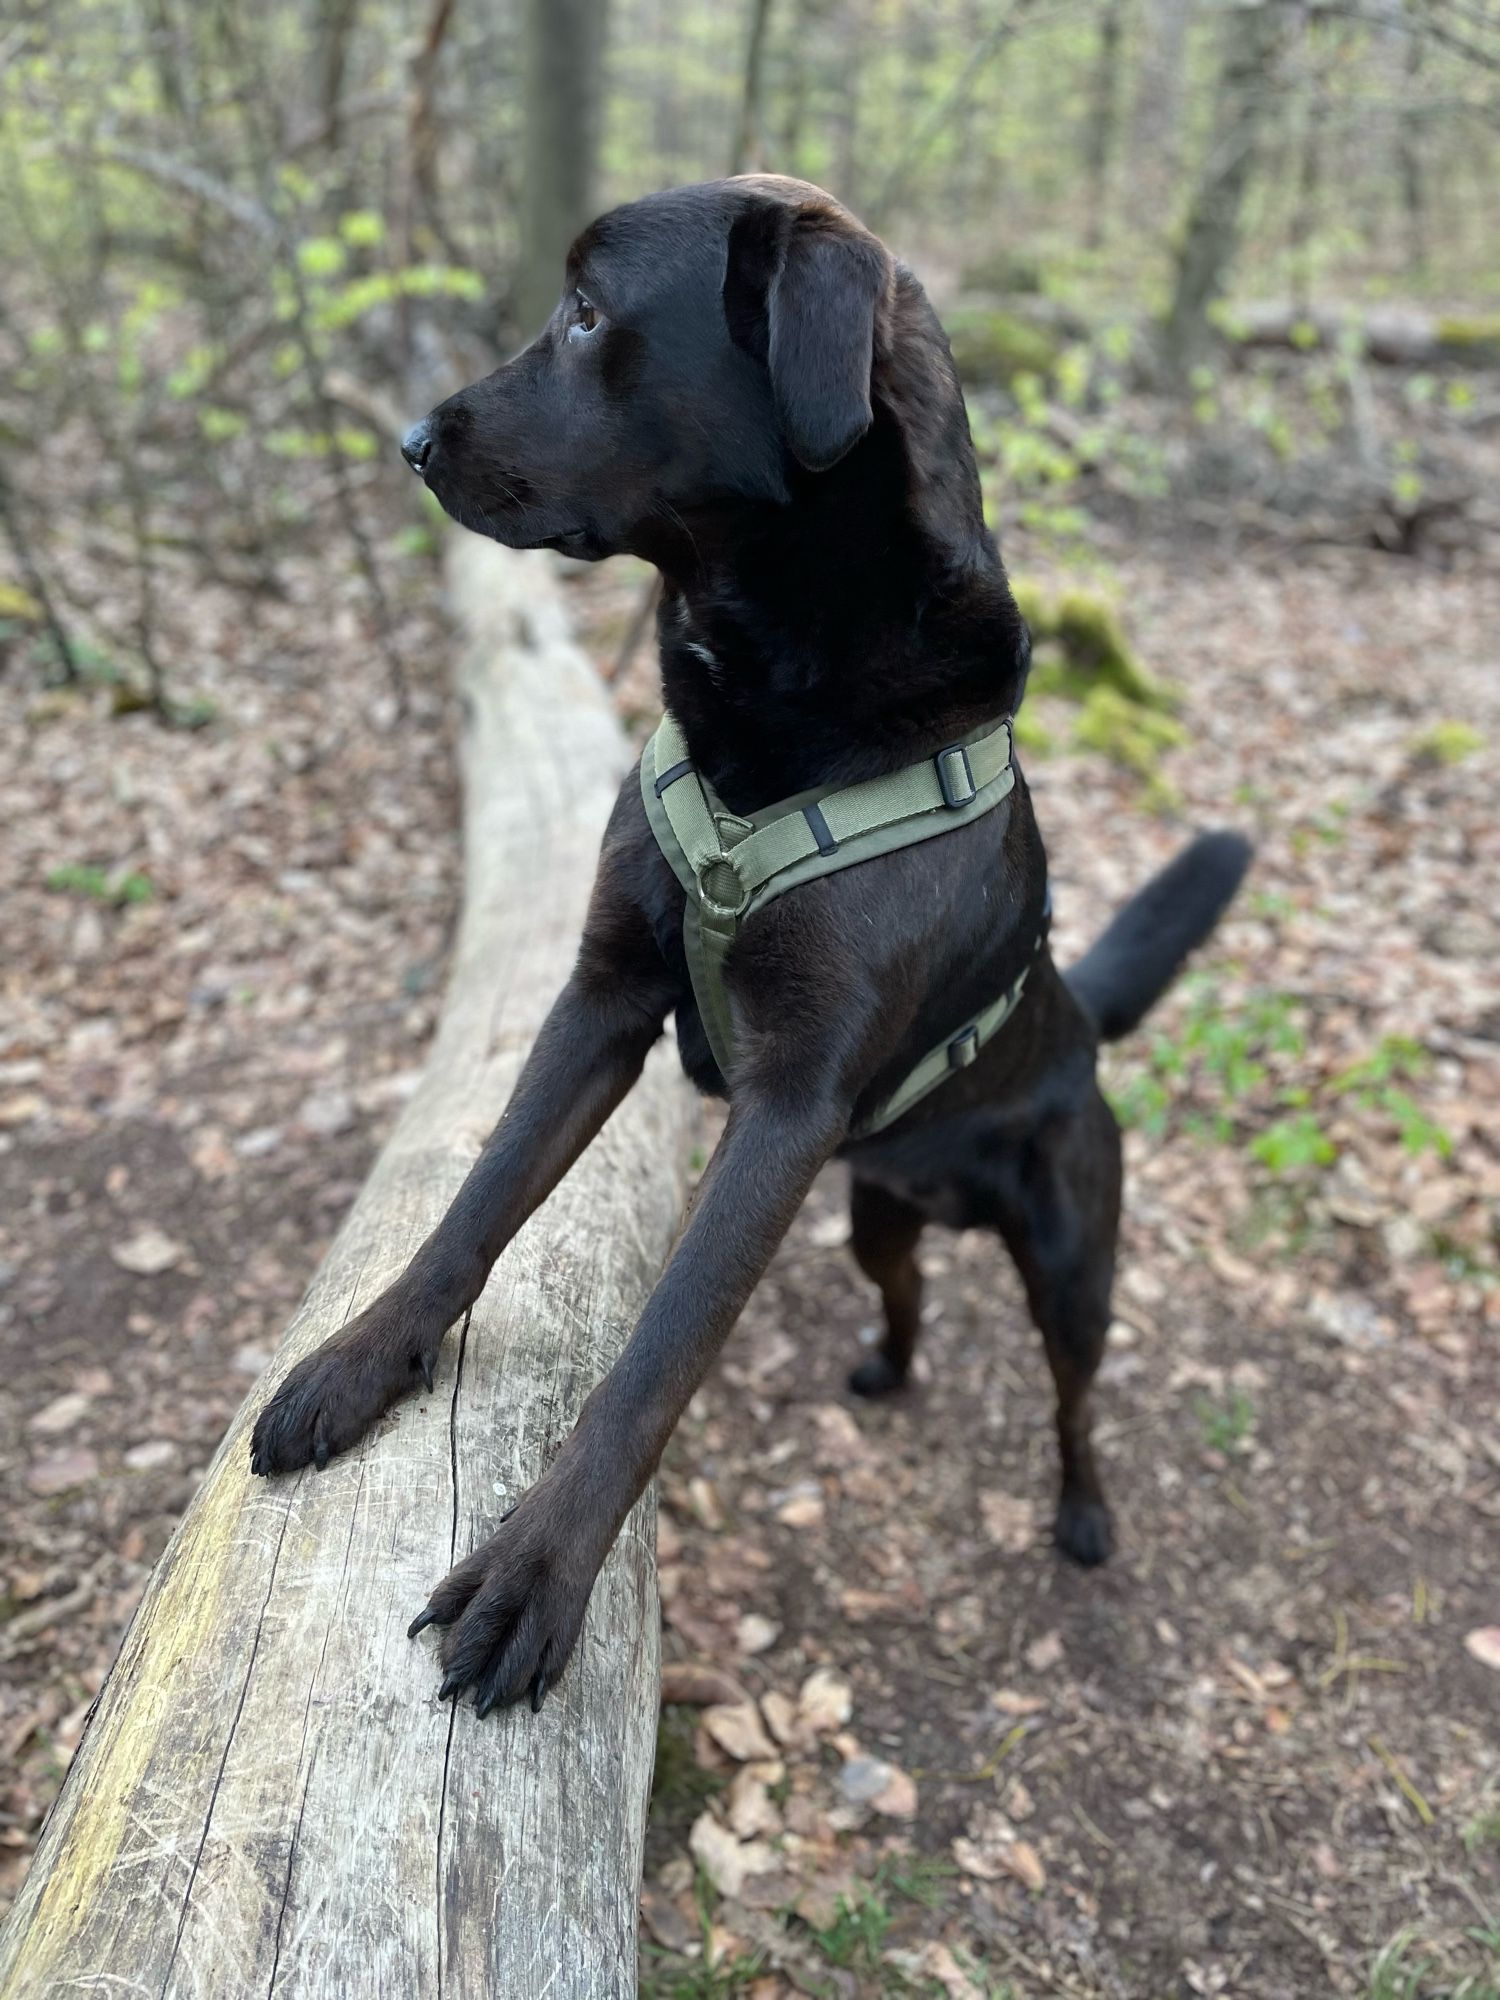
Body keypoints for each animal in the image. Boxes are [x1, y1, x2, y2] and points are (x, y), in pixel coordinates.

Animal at [250, 176, 1256, 1720]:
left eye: (587, 314)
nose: (411, 438)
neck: (777, 687)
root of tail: (1076, 1013)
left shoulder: (786, 1107)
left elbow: (659, 1351)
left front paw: (536, 1575)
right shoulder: (603, 996)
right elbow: (476, 1200)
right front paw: (363, 1364)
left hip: (1071, 1260)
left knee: (1077, 1396)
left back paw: (1084, 1513)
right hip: (871, 1213)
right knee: (906, 1291)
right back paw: (886, 1368)